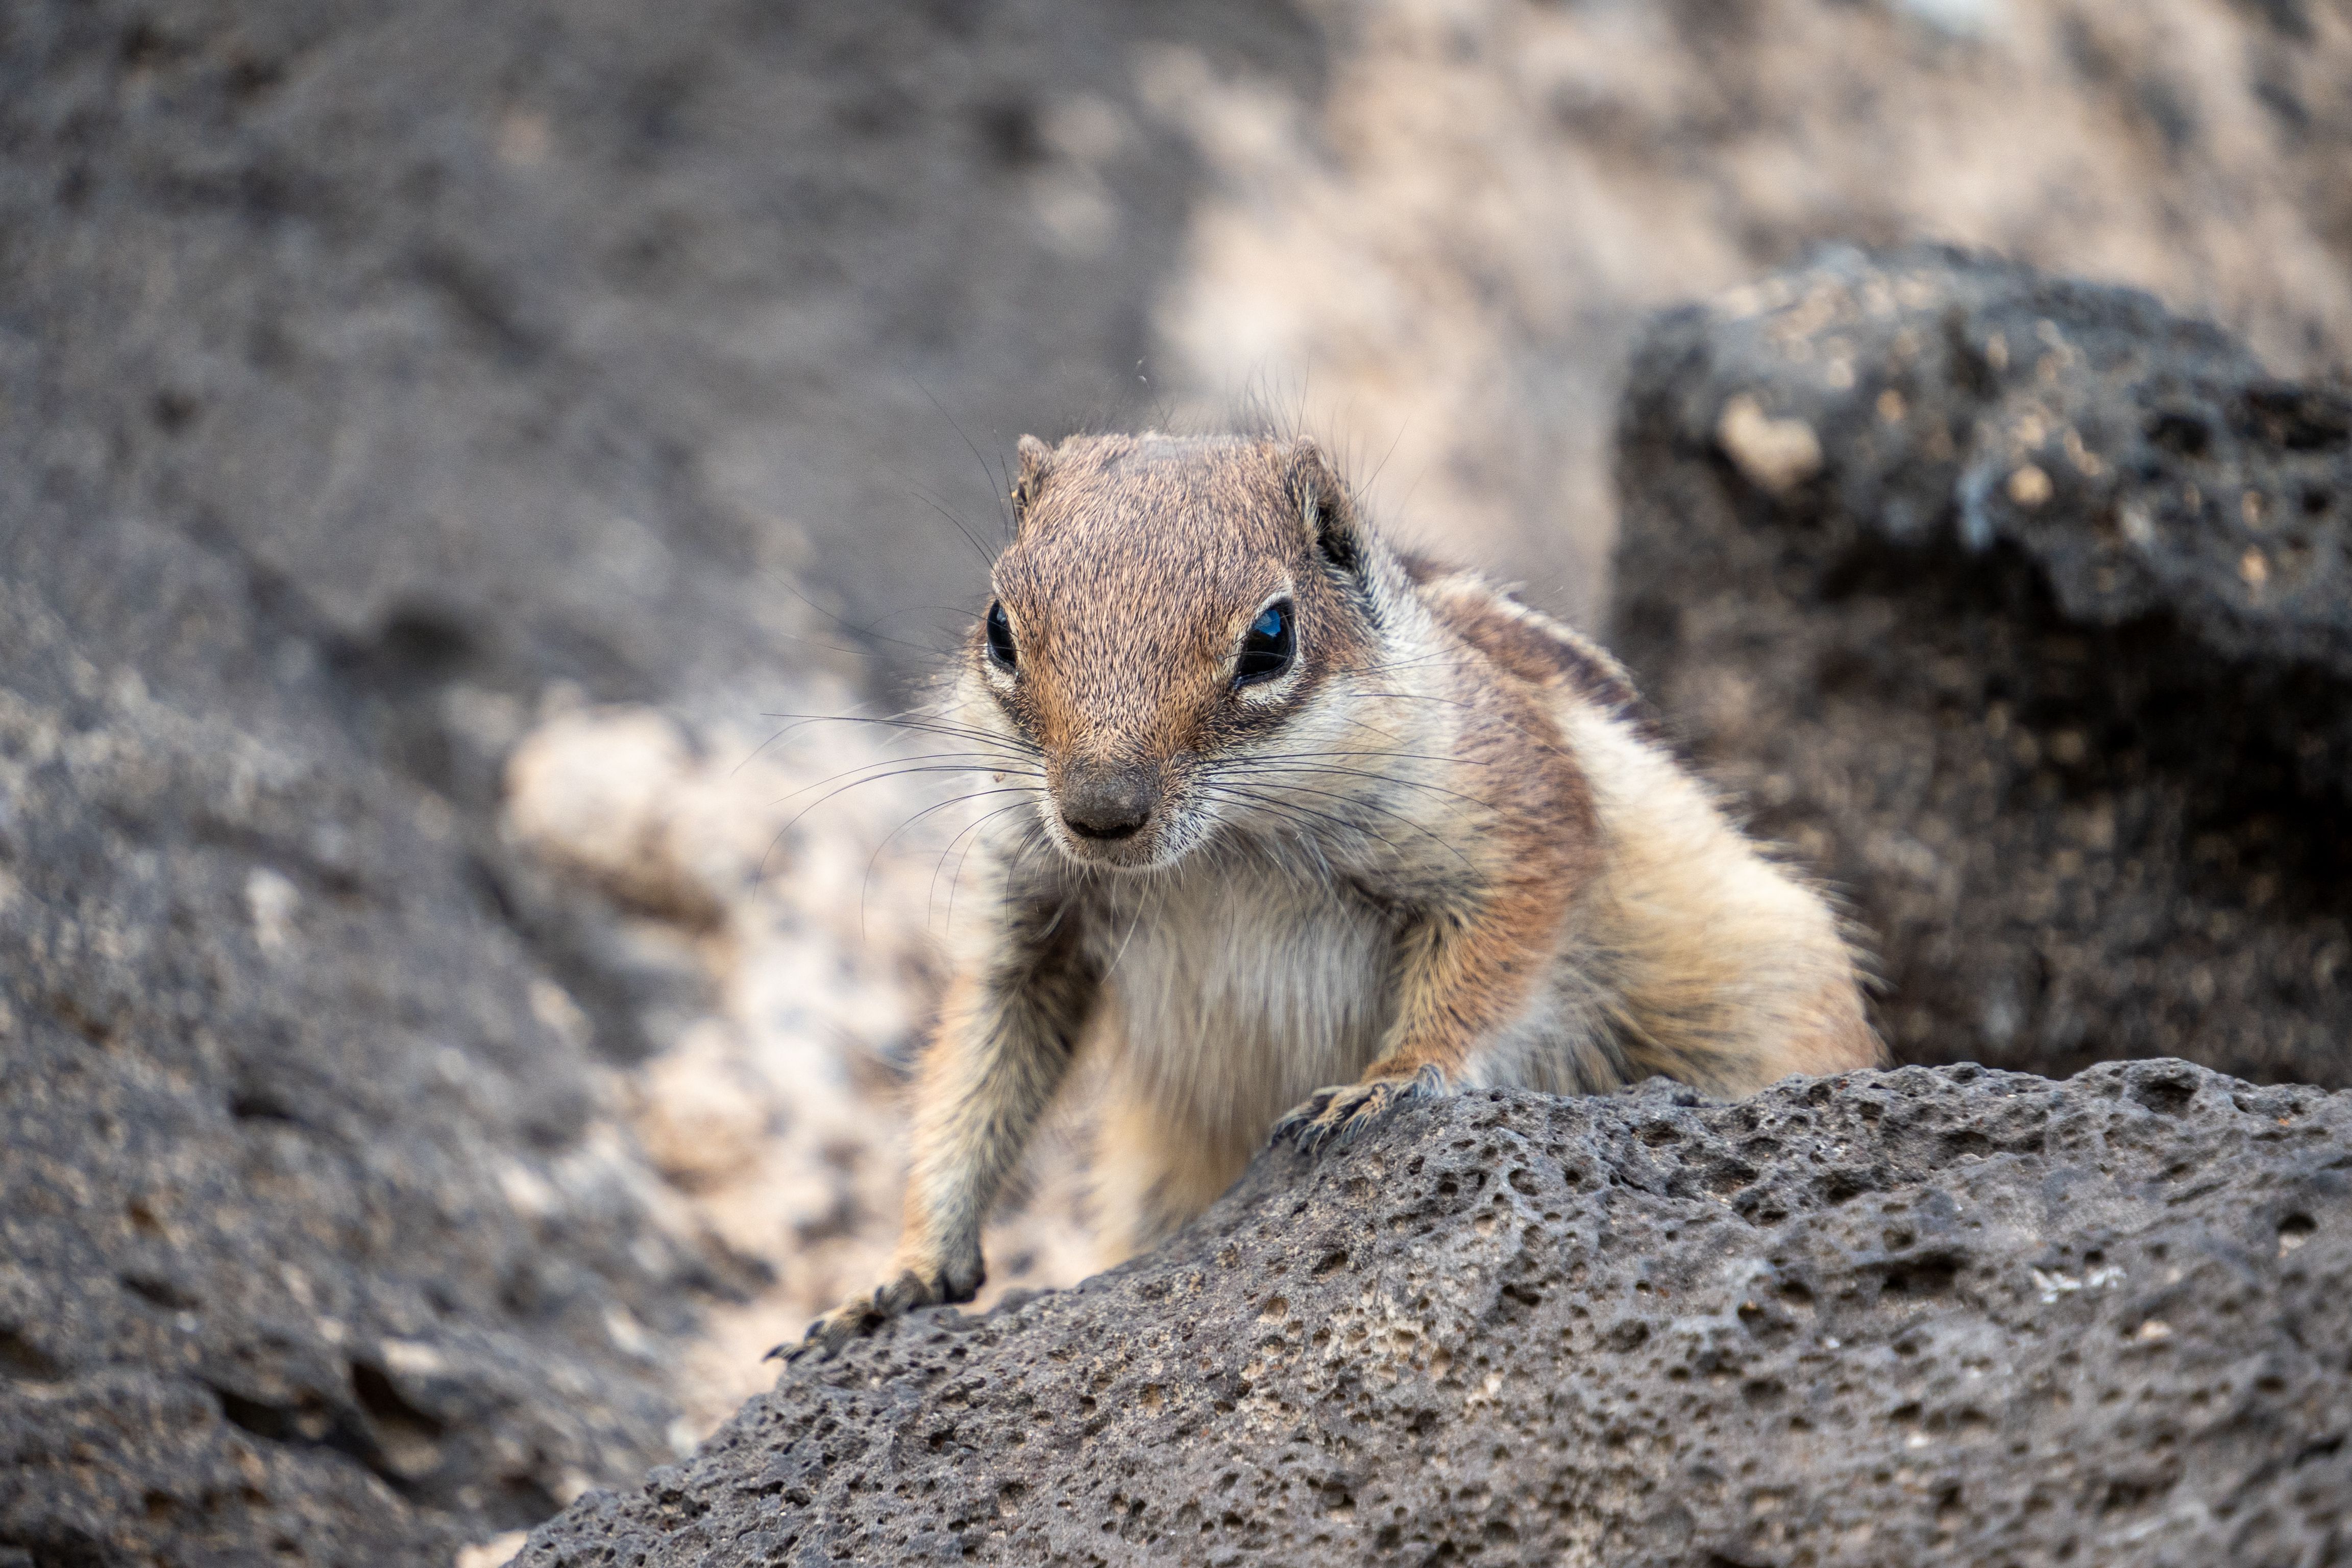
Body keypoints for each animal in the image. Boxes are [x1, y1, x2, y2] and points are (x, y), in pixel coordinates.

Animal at [791, 431, 1879, 1356]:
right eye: (999, 630)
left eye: (1270, 637)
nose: (1099, 812)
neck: (1215, 858)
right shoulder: (1030, 916)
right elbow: (978, 1060)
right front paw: (900, 1275)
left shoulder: (1514, 820)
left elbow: (1494, 958)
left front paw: (1385, 1080)